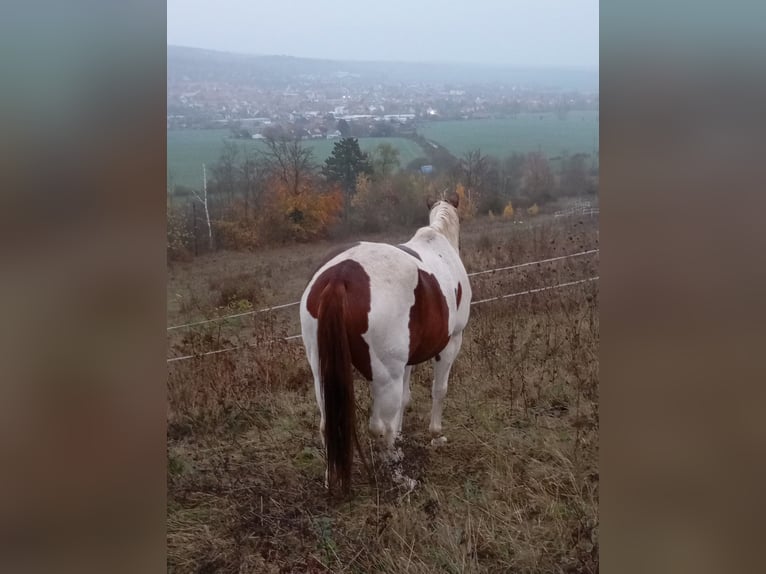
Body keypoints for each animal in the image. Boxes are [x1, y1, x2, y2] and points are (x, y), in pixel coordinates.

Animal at [302, 198, 474, 496]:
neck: (439, 242)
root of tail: (339, 277)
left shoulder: (406, 362)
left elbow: (404, 400)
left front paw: (400, 437)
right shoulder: (452, 342)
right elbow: (439, 390)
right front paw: (435, 435)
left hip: (321, 372)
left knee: (327, 425)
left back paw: (332, 480)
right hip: (386, 376)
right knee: (378, 427)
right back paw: (398, 477)